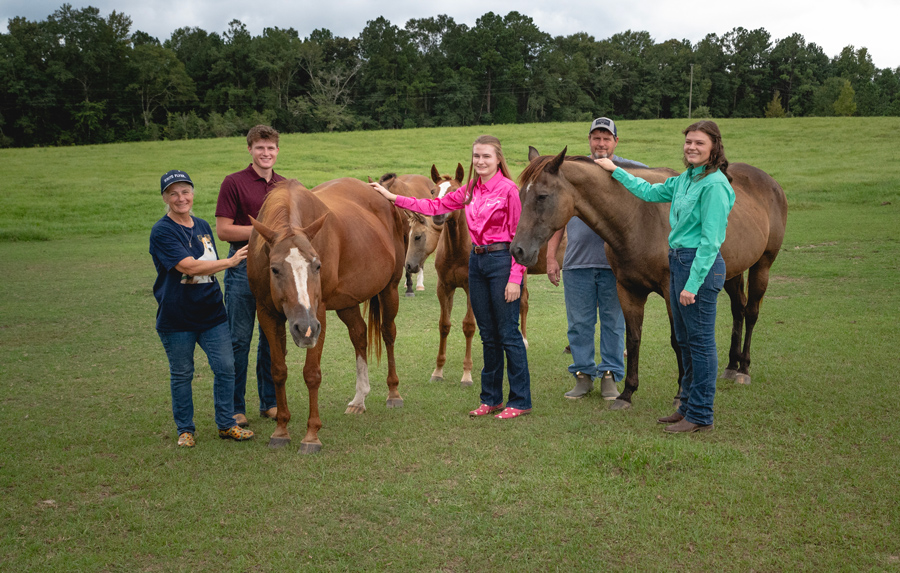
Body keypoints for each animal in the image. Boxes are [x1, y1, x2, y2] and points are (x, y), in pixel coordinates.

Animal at [248, 178, 406, 453]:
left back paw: (393, 392)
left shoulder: (318, 313)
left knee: (388, 334)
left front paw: (311, 435)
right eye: (275, 269)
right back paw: (359, 398)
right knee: (359, 335)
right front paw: (281, 430)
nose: (304, 328)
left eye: (317, 266)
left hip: (390, 289)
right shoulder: (266, 313)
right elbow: (278, 370)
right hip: (347, 303)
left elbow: (312, 374)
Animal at [511, 147, 787, 410]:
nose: (517, 250)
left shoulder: (671, 291)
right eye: (521, 196)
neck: (638, 217)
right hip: (732, 272)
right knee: (738, 309)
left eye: (542, 196)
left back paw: (744, 369)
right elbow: (633, 339)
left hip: (762, 265)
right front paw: (627, 393)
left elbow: (678, 341)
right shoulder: (628, 290)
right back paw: (731, 365)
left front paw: (680, 395)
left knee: (751, 312)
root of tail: (770, 182)